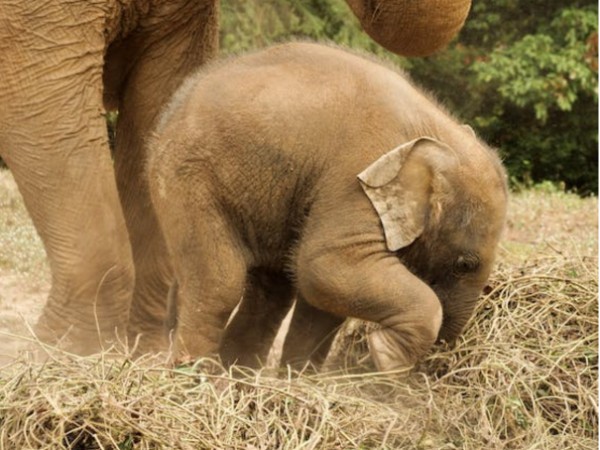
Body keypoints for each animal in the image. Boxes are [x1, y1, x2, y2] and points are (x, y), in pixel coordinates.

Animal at [148, 42, 508, 372]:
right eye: (465, 264)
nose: (435, 366)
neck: (435, 131)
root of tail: (167, 118)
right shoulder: (353, 177)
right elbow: (325, 265)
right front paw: (384, 356)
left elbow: (323, 299)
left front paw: (301, 378)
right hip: (189, 176)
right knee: (220, 282)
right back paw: (200, 379)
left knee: (271, 293)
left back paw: (240, 379)